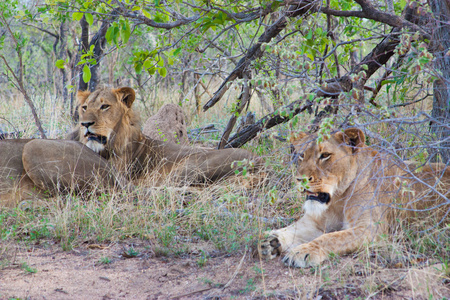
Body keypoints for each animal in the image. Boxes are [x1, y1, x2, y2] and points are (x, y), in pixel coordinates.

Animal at [258, 127, 448, 268]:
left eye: (325, 155)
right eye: (301, 155)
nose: (300, 180)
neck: (337, 200)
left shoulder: (370, 230)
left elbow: (330, 238)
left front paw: (302, 252)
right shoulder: (315, 222)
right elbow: (292, 229)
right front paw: (269, 241)